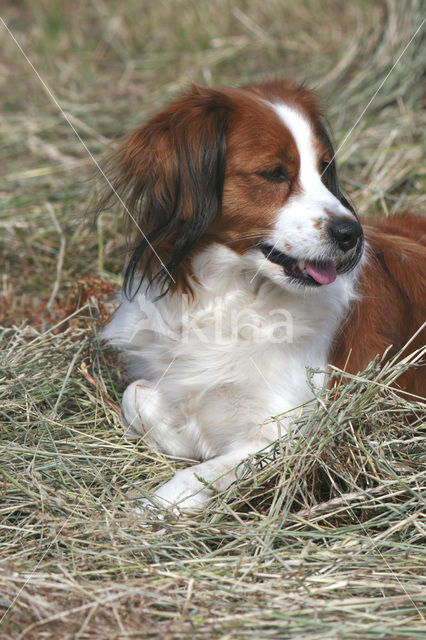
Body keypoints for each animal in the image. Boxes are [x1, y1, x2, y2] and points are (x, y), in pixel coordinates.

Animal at [97, 79, 426, 510]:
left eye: (325, 169)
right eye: (273, 173)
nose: (351, 233)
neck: (232, 295)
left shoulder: (285, 433)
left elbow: (190, 478)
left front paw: (146, 511)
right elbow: (135, 396)